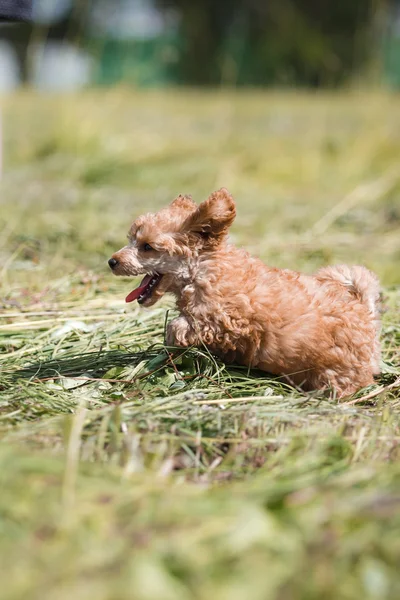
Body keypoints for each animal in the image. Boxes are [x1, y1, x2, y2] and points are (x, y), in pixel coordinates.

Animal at [108, 189, 382, 398]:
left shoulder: (225, 318)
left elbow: (180, 325)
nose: (111, 261)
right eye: (131, 239)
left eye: (147, 247)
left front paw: (173, 344)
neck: (205, 267)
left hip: (338, 372)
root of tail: (363, 312)